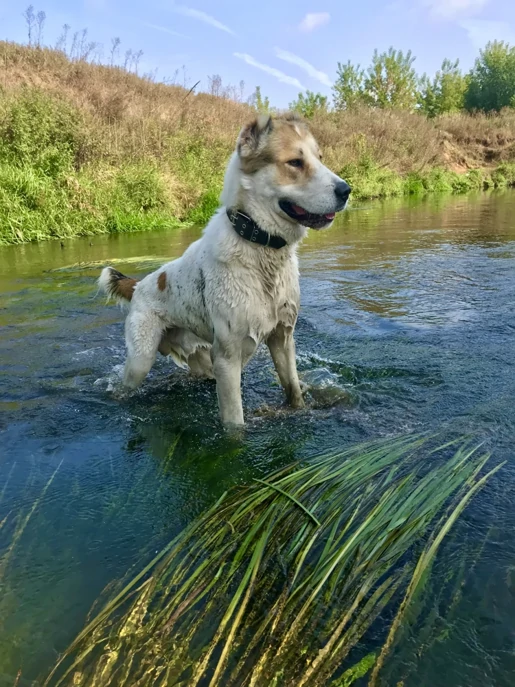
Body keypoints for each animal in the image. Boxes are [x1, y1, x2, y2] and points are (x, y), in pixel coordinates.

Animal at [98, 113, 350, 424]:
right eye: (295, 162)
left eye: (320, 158)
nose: (347, 190)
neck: (260, 247)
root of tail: (138, 285)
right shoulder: (228, 358)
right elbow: (234, 423)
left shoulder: (283, 337)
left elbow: (292, 388)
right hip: (141, 360)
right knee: (127, 383)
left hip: (201, 357)